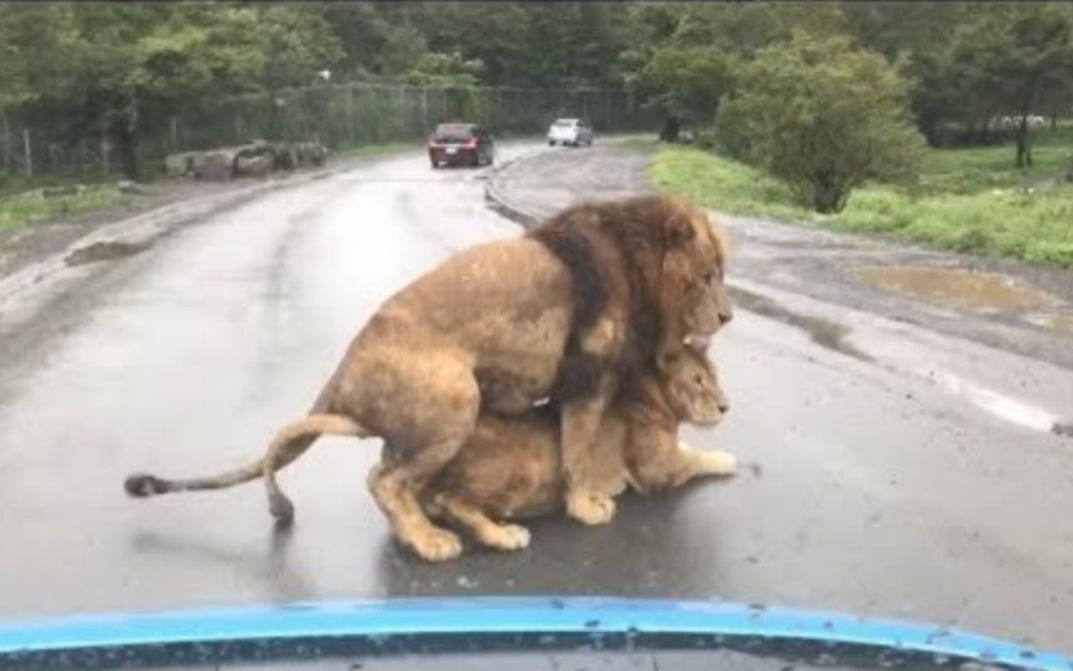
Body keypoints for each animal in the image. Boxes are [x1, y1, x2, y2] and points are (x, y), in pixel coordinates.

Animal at [123, 192, 729, 558]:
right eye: (706, 276)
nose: (727, 317)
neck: (637, 261)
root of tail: (343, 377)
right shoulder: (587, 377)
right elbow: (578, 451)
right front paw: (588, 507)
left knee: (399, 474)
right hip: (457, 394)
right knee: (384, 479)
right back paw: (429, 540)